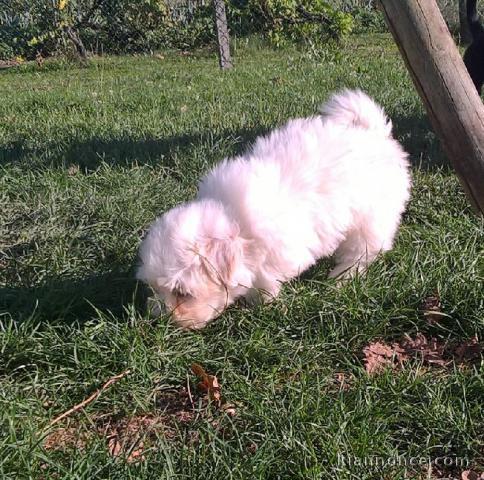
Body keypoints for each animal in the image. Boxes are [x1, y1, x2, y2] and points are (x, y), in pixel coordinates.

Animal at [138, 90, 410, 330]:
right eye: (154, 288)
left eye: (183, 293)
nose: (161, 319)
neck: (236, 222)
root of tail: (373, 133)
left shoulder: (277, 252)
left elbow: (265, 282)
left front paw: (261, 304)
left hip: (372, 217)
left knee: (362, 252)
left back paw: (340, 279)